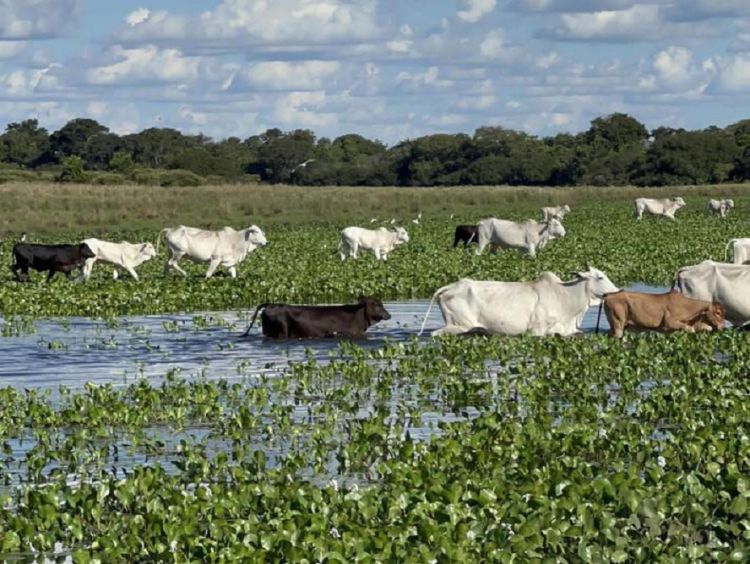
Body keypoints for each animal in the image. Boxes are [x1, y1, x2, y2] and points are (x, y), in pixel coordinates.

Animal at [420, 266, 620, 338]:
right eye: (600, 277)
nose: (618, 291)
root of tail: (452, 287)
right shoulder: (536, 331)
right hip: (458, 324)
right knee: (434, 334)